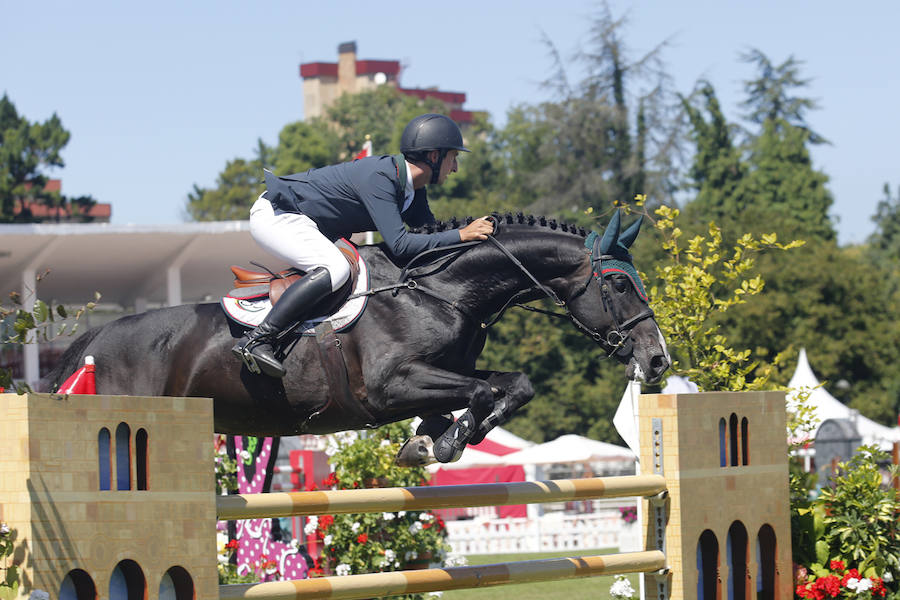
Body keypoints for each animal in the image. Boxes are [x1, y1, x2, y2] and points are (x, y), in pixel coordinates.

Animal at [47, 213, 668, 466]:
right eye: (618, 284)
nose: (658, 359)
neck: (440, 290)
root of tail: (93, 340)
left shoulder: (446, 374)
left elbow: (509, 386)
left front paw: (435, 440)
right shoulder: (392, 387)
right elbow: (484, 392)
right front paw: (442, 442)